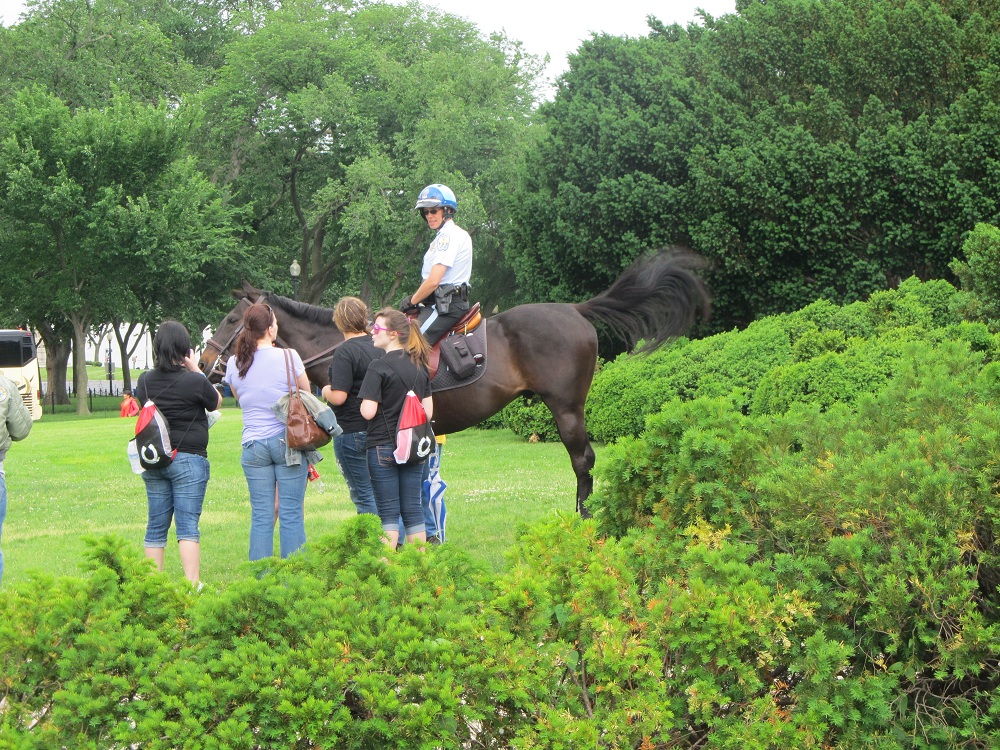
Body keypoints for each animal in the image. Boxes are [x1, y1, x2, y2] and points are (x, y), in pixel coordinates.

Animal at [200, 250, 710, 515]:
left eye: (232, 319)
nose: (206, 365)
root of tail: (574, 309)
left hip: (567, 408)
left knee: (583, 459)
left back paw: (584, 514)